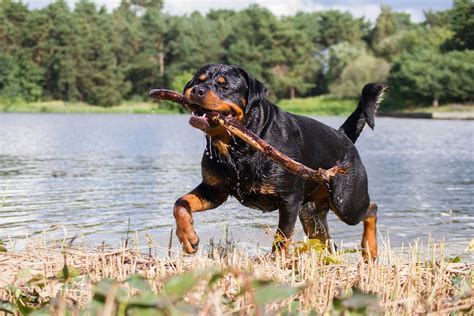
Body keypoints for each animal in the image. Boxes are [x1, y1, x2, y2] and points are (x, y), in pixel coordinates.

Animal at [172, 63, 384, 260]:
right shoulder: (214, 190)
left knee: (371, 209)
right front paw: (188, 237)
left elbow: (282, 237)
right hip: (310, 212)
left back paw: (370, 250)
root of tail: (343, 136)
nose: (197, 90)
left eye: (224, 86)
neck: (236, 147)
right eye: (197, 81)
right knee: (328, 242)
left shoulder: (290, 199)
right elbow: (180, 204)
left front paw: (277, 262)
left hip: (346, 201)